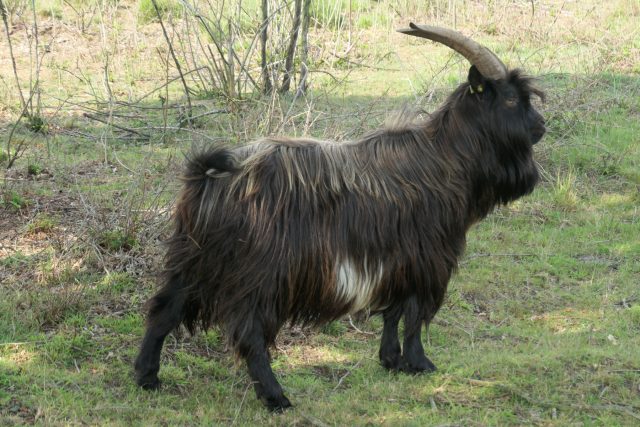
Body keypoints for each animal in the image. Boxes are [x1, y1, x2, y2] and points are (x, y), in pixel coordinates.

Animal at [134, 23, 546, 411]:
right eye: (511, 99)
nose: (541, 127)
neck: (446, 157)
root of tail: (211, 177)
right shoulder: (427, 257)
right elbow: (414, 314)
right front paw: (419, 363)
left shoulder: (398, 260)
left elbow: (393, 312)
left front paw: (391, 360)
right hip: (260, 274)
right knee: (249, 333)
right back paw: (275, 396)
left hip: (194, 259)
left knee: (164, 310)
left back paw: (147, 377)